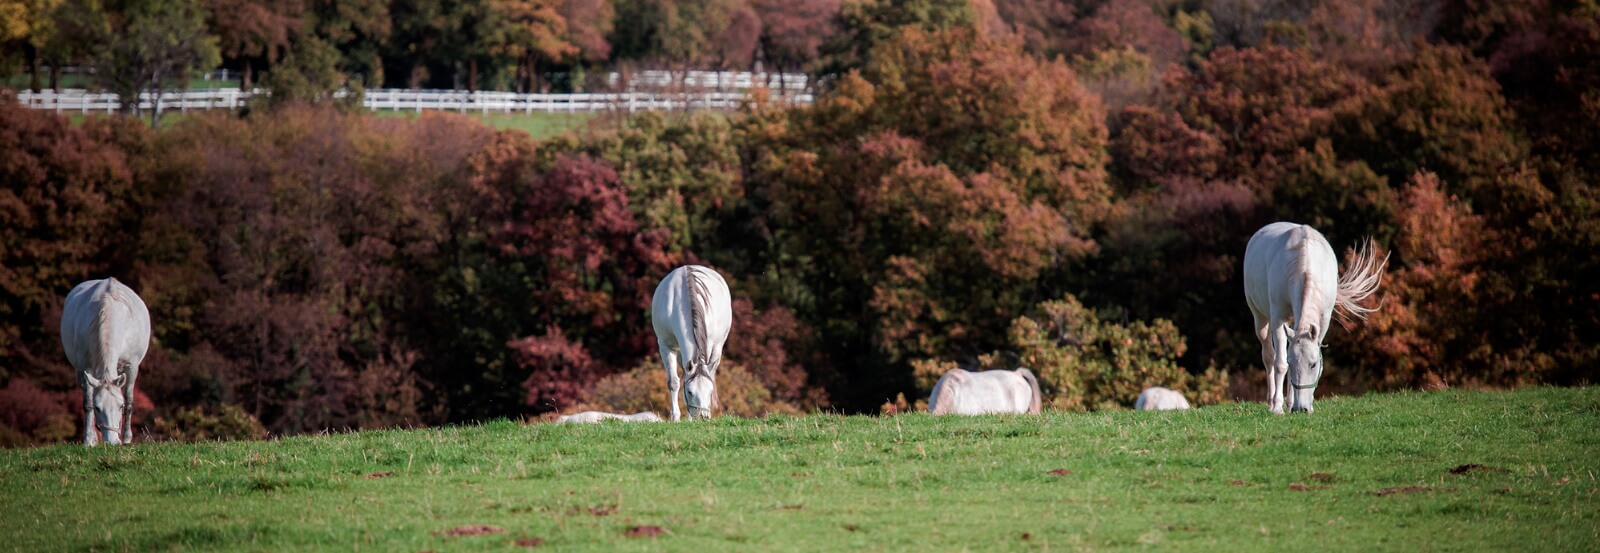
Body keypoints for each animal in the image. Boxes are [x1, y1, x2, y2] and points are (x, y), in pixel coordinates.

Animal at [59, 278, 150, 447]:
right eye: (98, 407)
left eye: (120, 406)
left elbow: (130, 401)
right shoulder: (84, 367)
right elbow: (87, 402)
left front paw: (126, 439)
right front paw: (89, 439)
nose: (113, 442)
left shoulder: (132, 366)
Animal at [649, 265, 732, 421]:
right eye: (689, 392)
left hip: (718, 347)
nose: (702, 416)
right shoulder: (665, 346)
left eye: (710, 391)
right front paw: (675, 417)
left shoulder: (708, 344)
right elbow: (674, 382)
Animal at [1241, 222, 1382, 412]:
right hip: (1259, 317)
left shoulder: (1323, 320)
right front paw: (1278, 408)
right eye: (1292, 364)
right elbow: (1280, 363)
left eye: (1313, 364)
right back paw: (1272, 402)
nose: (1302, 408)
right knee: (1268, 355)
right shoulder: (1278, 318)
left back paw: (1290, 403)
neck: (1304, 265)